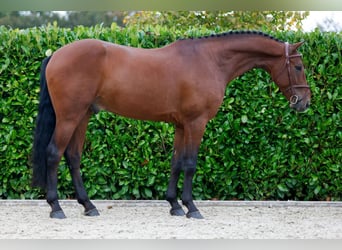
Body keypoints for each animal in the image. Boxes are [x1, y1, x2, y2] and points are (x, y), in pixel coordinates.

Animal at [31, 30, 310, 219]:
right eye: (298, 66)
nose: (304, 103)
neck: (210, 60)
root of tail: (55, 55)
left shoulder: (180, 125)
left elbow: (176, 163)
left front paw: (175, 205)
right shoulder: (197, 123)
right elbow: (190, 164)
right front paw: (192, 208)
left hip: (83, 116)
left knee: (73, 157)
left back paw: (88, 206)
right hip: (69, 116)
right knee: (53, 154)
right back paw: (56, 207)